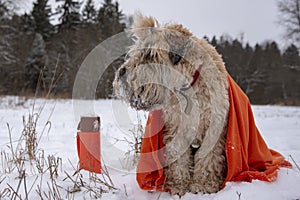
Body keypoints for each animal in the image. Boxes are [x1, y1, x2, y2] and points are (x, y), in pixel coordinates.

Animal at [112, 13, 230, 195]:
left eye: (151, 54)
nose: (122, 72)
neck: (188, 85)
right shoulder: (176, 129)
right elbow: (178, 158)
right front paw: (178, 186)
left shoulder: (214, 128)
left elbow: (208, 158)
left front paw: (203, 185)